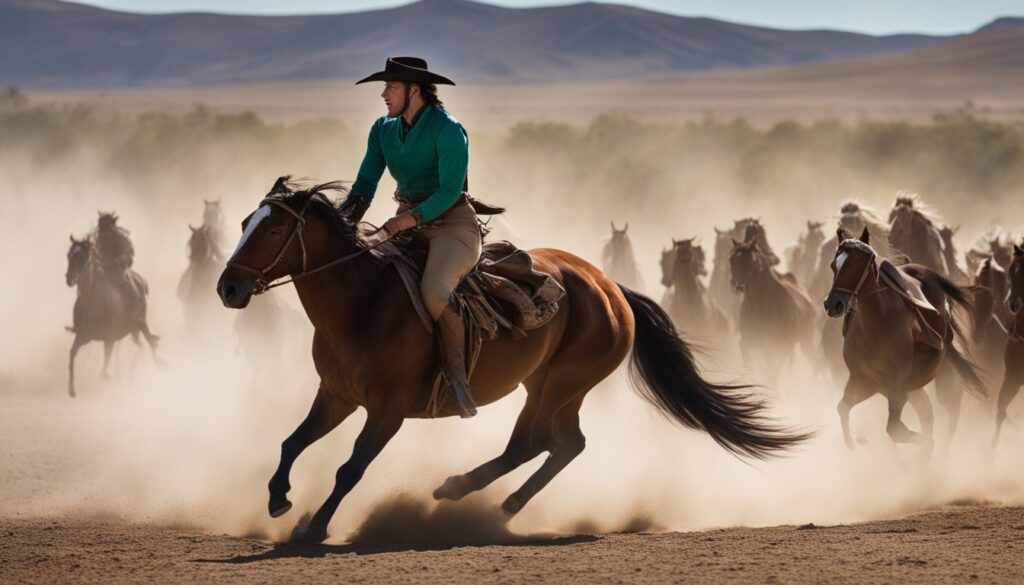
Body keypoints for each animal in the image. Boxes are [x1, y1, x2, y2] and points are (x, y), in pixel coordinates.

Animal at [65, 235, 159, 395]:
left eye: (83, 256)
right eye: (69, 255)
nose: (69, 279)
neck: (92, 302)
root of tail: (142, 282)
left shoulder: (109, 336)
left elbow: (104, 367)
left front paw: (112, 377)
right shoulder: (83, 336)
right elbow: (72, 353)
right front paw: (71, 390)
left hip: (140, 322)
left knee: (149, 340)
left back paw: (159, 363)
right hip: (133, 330)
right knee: (141, 346)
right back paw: (131, 376)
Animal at [214, 178, 806, 545]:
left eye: (272, 229)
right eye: (244, 221)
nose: (228, 288)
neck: (363, 304)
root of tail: (610, 287)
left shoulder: (388, 410)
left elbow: (350, 466)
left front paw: (313, 528)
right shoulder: (337, 395)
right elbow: (293, 441)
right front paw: (278, 500)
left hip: (562, 383)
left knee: (534, 441)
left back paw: (459, 492)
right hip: (549, 384)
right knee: (565, 444)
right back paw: (500, 505)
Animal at [819, 226, 978, 450]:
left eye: (857, 264)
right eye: (834, 265)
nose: (833, 304)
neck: (876, 326)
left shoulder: (897, 384)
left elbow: (895, 429)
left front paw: (924, 442)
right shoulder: (864, 380)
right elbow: (843, 408)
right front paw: (853, 443)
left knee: (947, 410)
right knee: (926, 411)